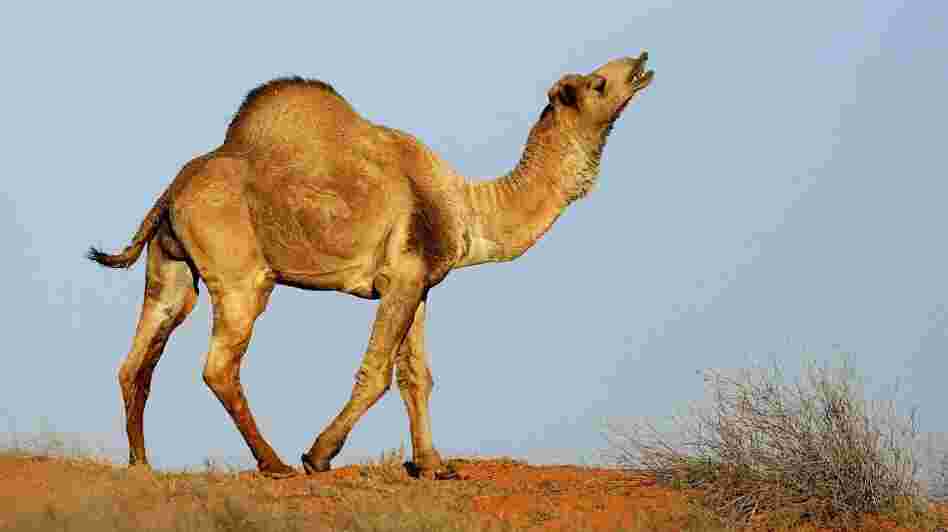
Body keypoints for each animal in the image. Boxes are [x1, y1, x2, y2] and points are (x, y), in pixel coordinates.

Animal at [88, 53, 654, 478]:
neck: (469, 206)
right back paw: (275, 464)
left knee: (138, 359)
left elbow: (417, 377)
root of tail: (172, 189)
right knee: (219, 366)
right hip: (241, 276)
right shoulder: (401, 277)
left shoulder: (419, 282)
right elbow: (377, 372)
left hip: (170, 267)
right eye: (598, 82)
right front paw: (318, 455)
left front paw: (433, 466)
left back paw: (141, 465)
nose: (641, 62)